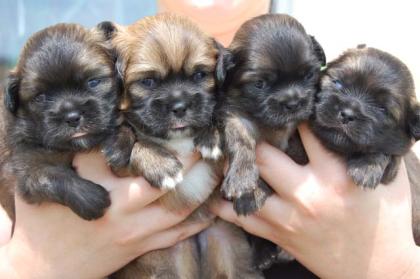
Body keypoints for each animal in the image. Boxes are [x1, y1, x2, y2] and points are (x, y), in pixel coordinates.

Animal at [2, 23, 120, 221]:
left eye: (93, 82)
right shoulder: (26, 167)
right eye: (40, 97)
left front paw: (120, 145)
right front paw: (90, 199)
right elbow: (51, 176)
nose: (72, 117)